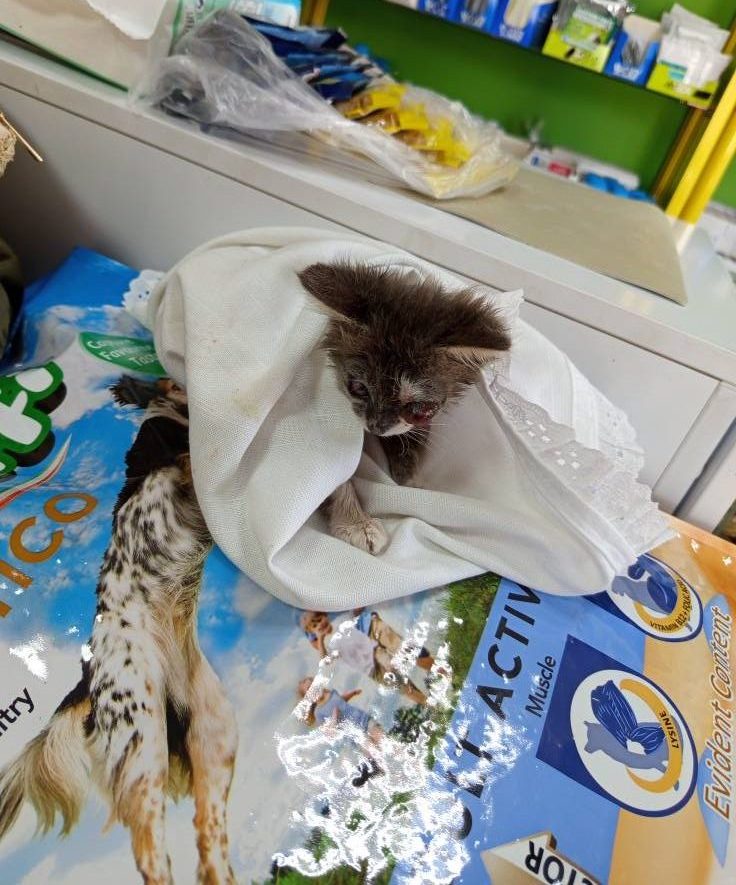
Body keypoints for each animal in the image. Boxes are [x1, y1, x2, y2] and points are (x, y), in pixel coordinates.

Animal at [298, 261, 511, 555]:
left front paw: (411, 482)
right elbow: (332, 479)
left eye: (418, 407)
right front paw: (356, 523)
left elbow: (410, 441)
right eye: (358, 388)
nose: (375, 426)